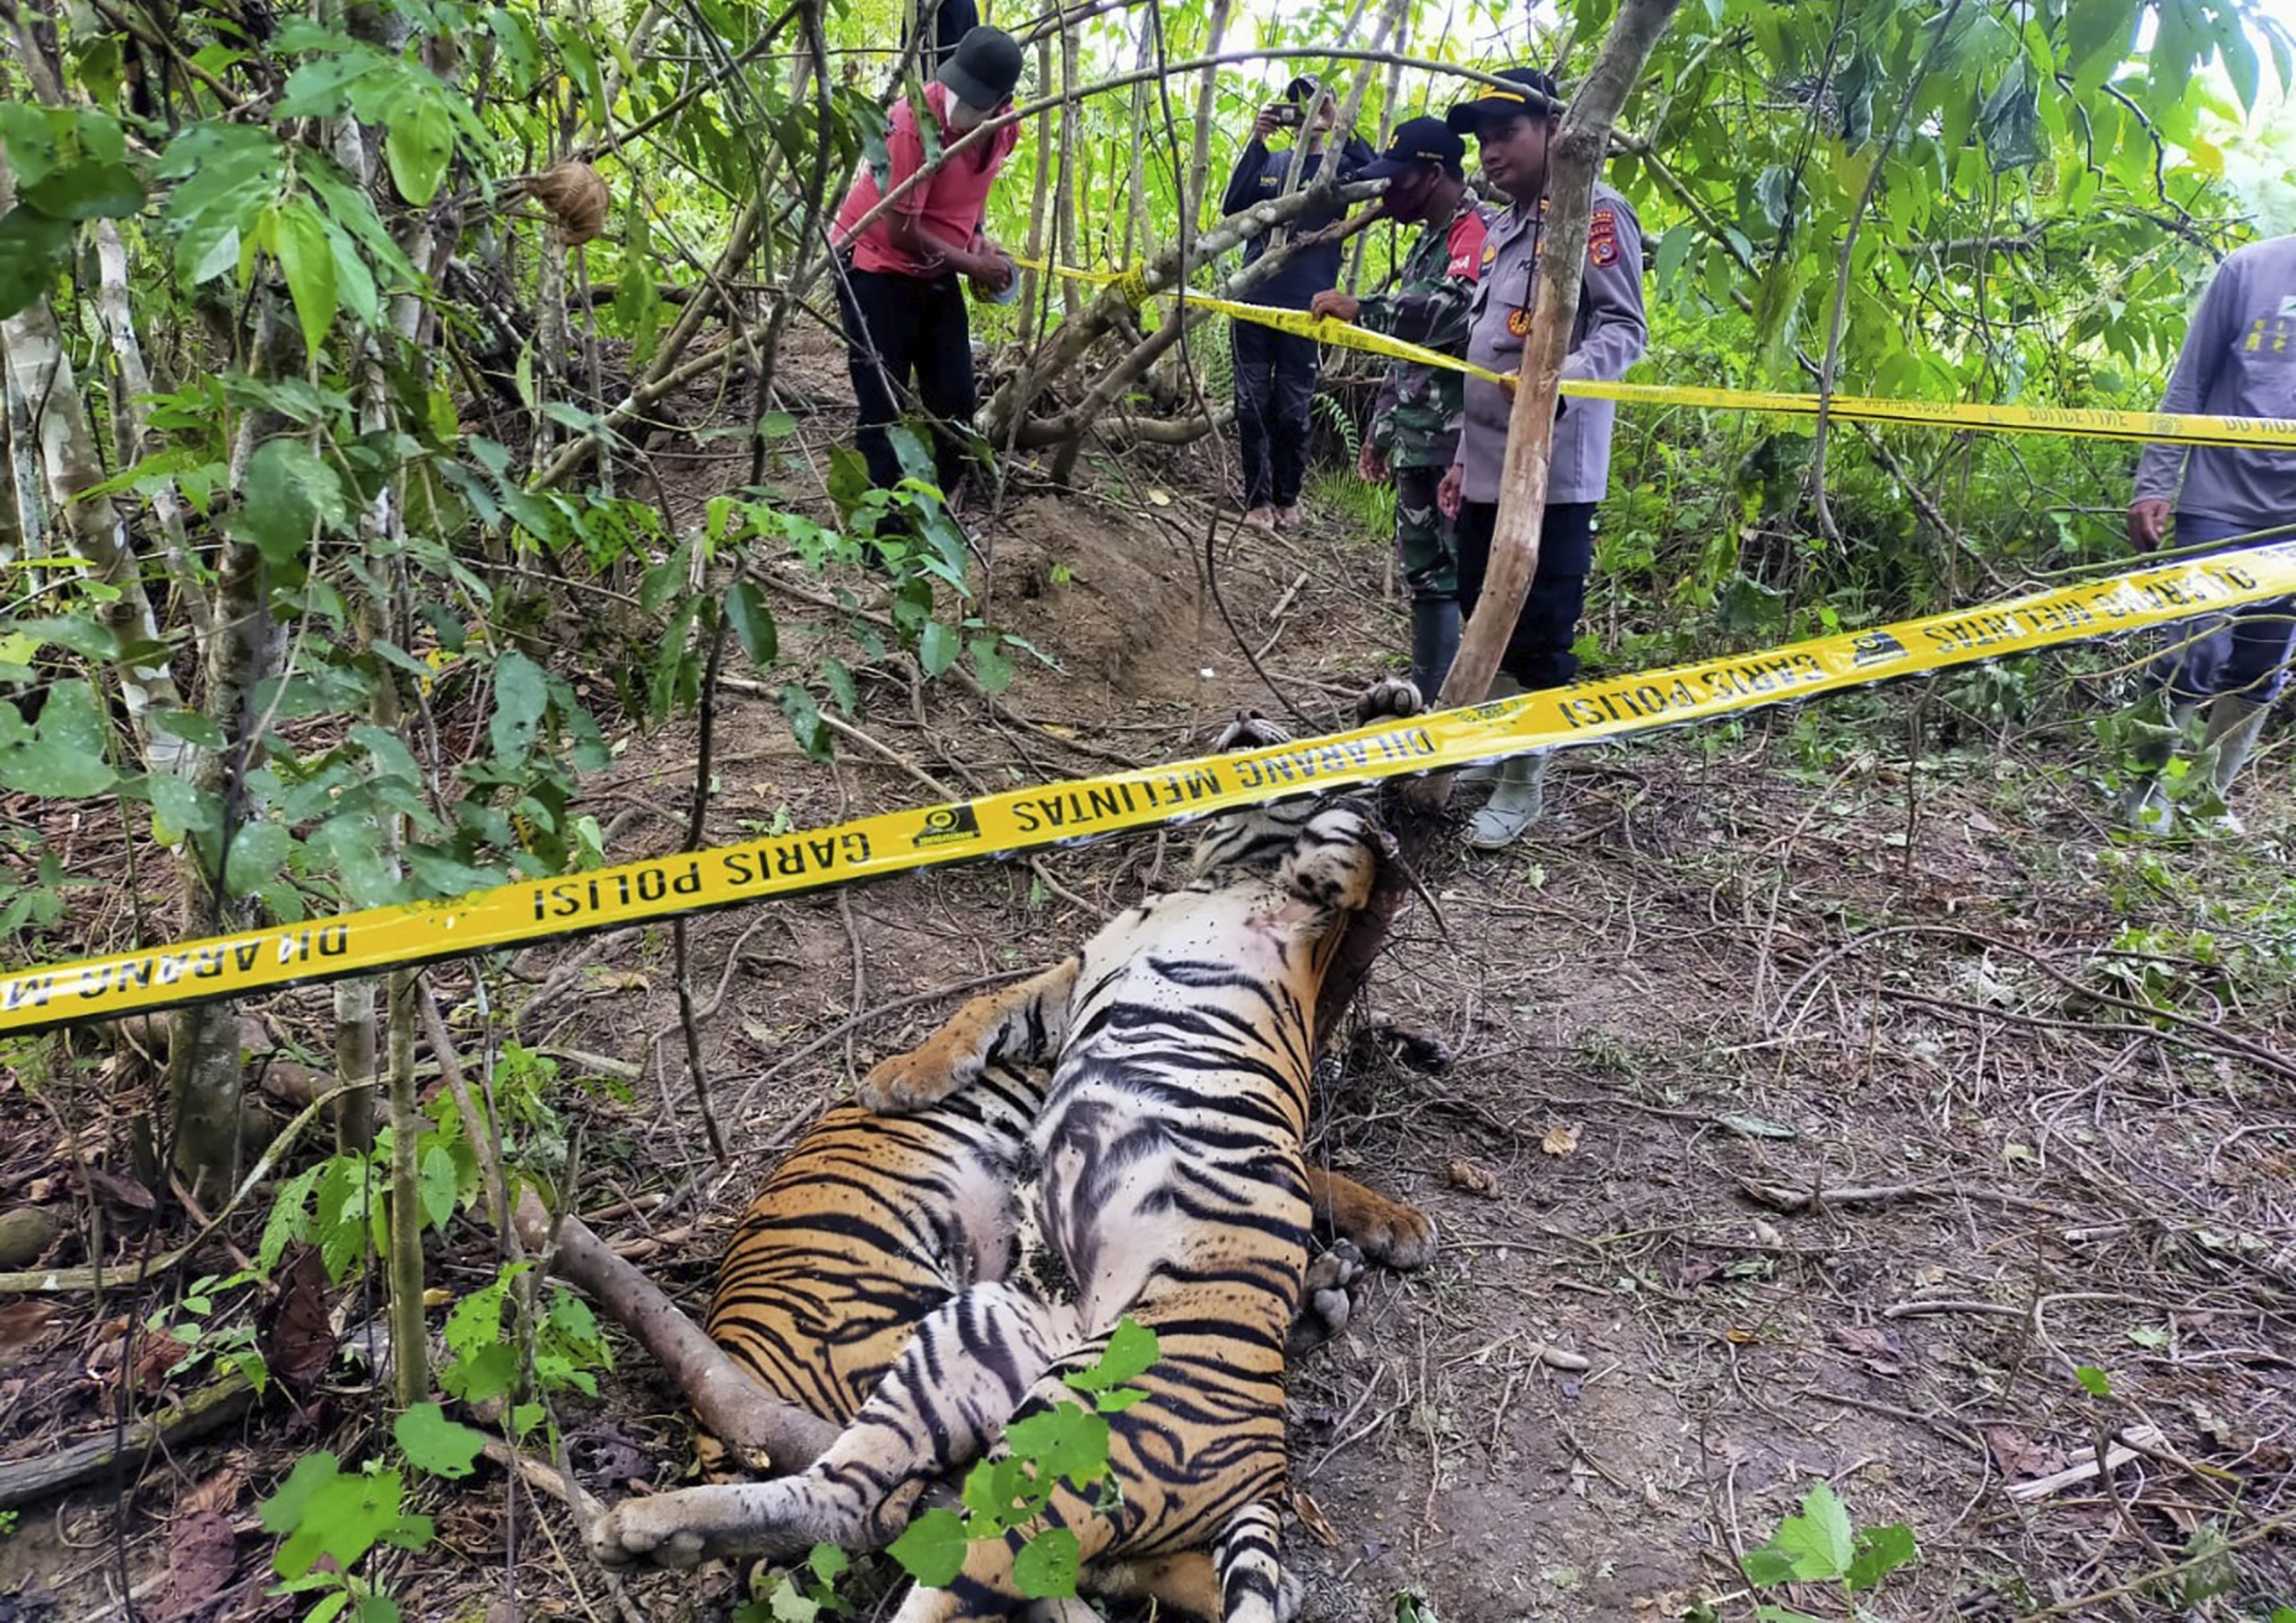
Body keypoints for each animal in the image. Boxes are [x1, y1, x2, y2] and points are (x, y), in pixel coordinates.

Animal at [595, 680, 1431, 1619]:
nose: (1250, 722)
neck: (1226, 874)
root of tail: (1266, 1463)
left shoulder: (1300, 928)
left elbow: (1346, 840)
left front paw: (1387, 723)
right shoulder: (1074, 978)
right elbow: (981, 1011)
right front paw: (897, 1079)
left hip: (1037, 1391)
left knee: (947, 1542)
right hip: (982, 1349)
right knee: (900, 1518)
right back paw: (649, 1530)